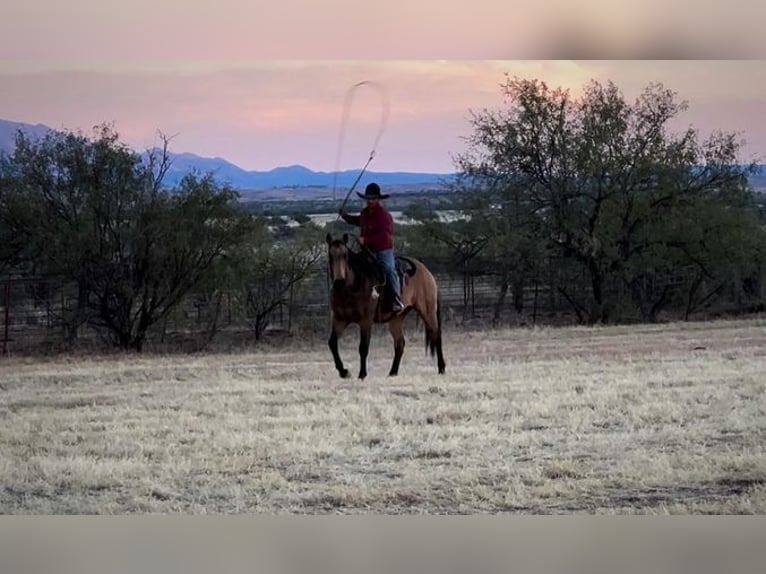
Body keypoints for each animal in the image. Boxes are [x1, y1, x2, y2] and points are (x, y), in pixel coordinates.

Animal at [326, 232, 448, 380]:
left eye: (345, 255)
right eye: (330, 255)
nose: (338, 281)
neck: (353, 286)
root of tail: (427, 272)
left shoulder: (365, 321)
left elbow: (363, 348)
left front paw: (362, 374)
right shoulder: (340, 320)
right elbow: (332, 343)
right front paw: (343, 371)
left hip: (427, 312)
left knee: (436, 335)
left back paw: (441, 368)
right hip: (396, 319)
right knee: (400, 343)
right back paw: (393, 372)